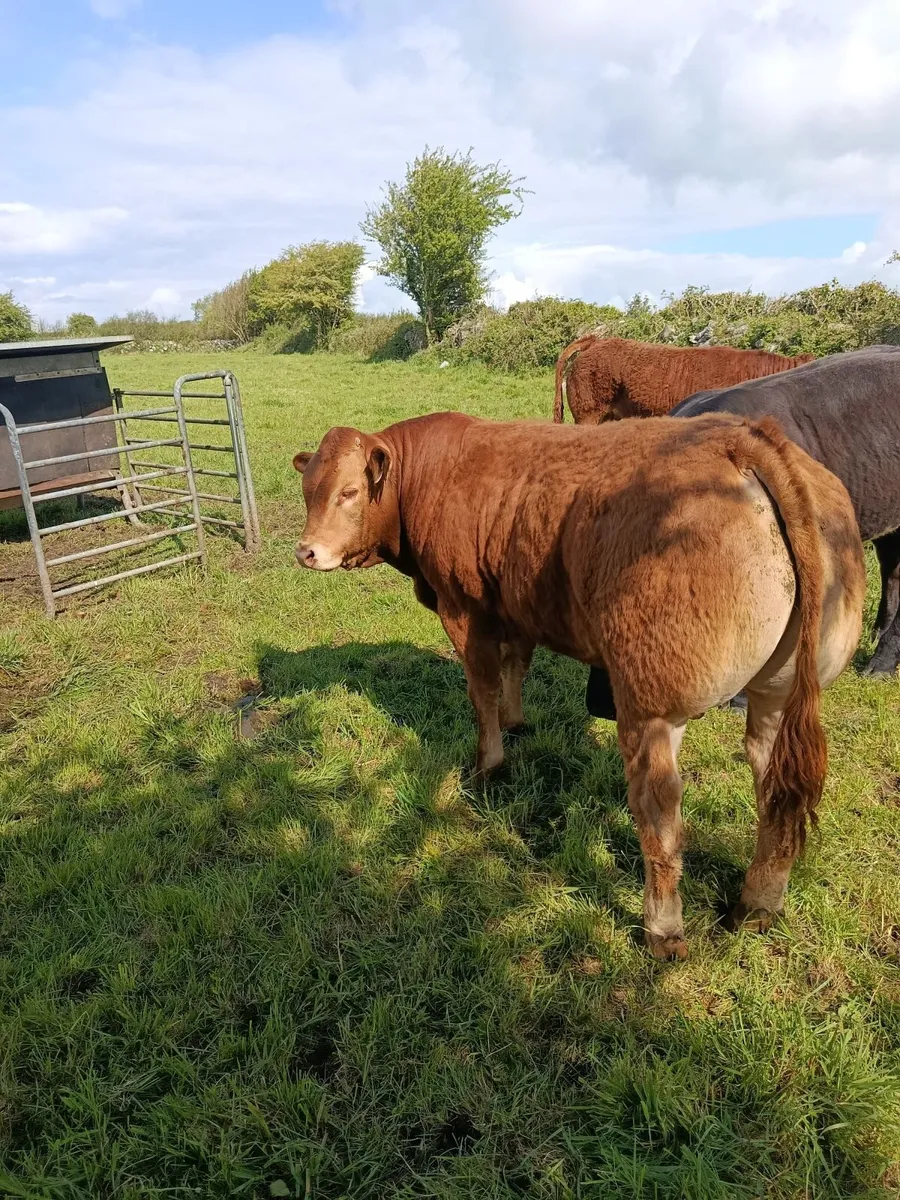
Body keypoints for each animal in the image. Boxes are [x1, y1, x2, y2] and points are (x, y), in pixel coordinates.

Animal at [293, 412, 864, 959]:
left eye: (348, 492)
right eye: (307, 489)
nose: (306, 552)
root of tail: (743, 437)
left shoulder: (464, 608)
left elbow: (481, 690)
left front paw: (488, 765)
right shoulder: (515, 605)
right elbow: (515, 666)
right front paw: (516, 723)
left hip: (651, 703)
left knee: (658, 808)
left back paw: (663, 931)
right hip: (776, 695)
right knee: (774, 786)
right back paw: (756, 906)